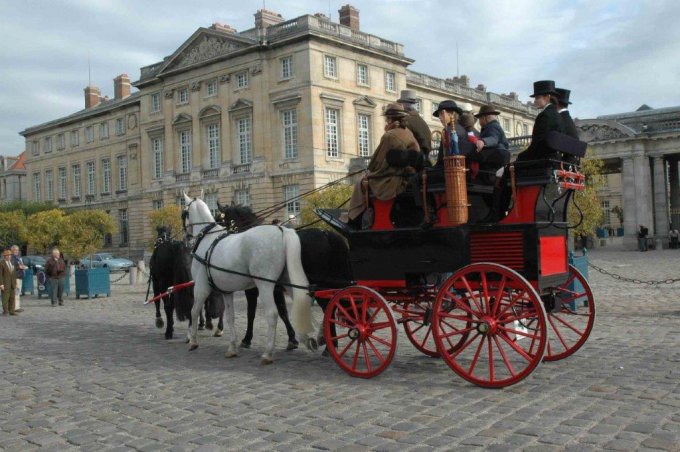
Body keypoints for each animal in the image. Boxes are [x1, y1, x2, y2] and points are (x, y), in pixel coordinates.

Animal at [182, 192, 318, 364]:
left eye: (183, 213)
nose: (186, 239)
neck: (207, 240)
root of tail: (281, 230)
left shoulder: (201, 287)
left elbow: (194, 310)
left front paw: (193, 340)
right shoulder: (227, 291)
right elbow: (230, 317)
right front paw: (232, 347)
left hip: (265, 285)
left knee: (272, 314)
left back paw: (268, 353)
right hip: (288, 284)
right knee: (302, 304)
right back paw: (311, 338)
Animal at [218, 205, 354, 350]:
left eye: (221, 220)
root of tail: (326, 233)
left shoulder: (253, 289)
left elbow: (251, 312)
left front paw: (247, 338)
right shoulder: (276, 289)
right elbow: (283, 311)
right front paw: (292, 338)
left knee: (328, 307)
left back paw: (329, 344)